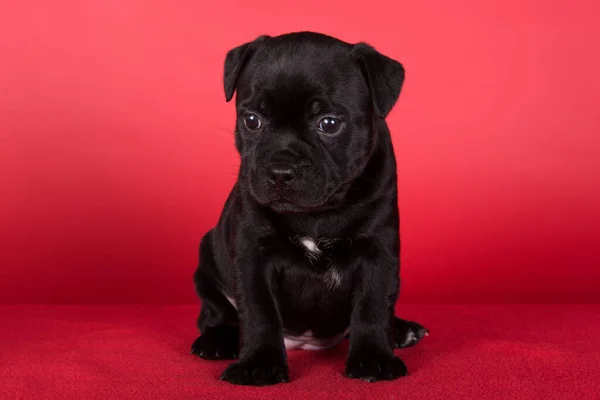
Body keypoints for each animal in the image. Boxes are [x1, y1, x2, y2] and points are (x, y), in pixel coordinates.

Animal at [191, 32, 426, 386]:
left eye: (329, 124)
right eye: (252, 120)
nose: (281, 170)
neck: (318, 213)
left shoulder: (378, 250)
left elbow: (373, 304)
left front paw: (374, 358)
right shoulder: (252, 252)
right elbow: (259, 311)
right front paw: (258, 363)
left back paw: (401, 331)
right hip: (208, 259)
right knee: (215, 311)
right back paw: (217, 340)